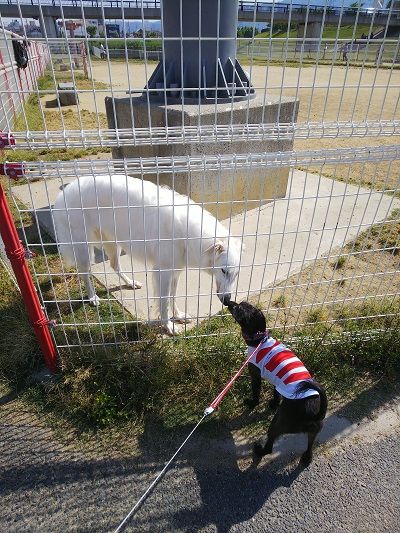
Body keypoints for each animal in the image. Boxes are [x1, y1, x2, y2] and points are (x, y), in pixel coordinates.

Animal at [52, 175, 241, 332]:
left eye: (236, 274)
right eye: (224, 271)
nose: (227, 301)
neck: (188, 233)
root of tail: (64, 193)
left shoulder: (176, 271)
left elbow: (173, 297)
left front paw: (178, 316)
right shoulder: (162, 272)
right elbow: (164, 302)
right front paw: (168, 325)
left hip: (114, 244)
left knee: (114, 265)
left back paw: (130, 282)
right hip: (84, 249)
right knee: (84, 273)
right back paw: (93, 297)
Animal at [227, 302, 326, 464]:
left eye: (239, 309)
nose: (230, 303)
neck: (259, 339)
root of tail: (313, 413)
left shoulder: (255, 375)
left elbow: (256, 393)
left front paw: (252, 403)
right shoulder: (278, 384)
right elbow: (276, 394)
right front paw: (273, 404)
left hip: (278, 423)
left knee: (270, 445)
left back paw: (259, 450)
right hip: (314, 430)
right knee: (310, 444)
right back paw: (307, 458)